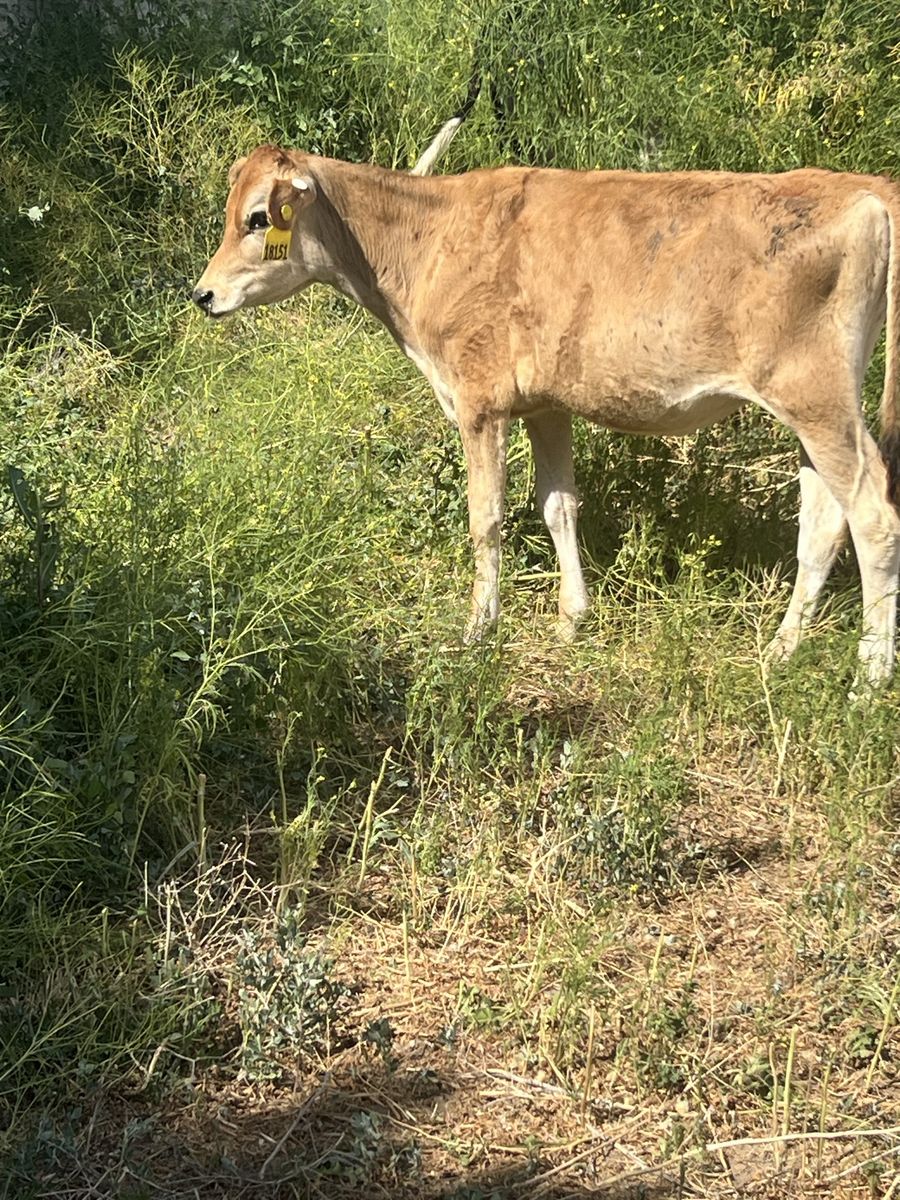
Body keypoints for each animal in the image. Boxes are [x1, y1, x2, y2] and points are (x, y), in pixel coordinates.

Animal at [193, 148, 900, 687]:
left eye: (258, 218)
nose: (203, 294)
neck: (428, 243)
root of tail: (864, 188)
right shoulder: (545, 405)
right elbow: (558, 505)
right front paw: (570, 620)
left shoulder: (479, 400)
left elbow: (485, 518)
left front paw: (479, 628)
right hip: (810, 410)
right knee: (823, 522)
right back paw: (782, 650)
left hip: (816, 395)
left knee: (873, 517)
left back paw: (868, 679)